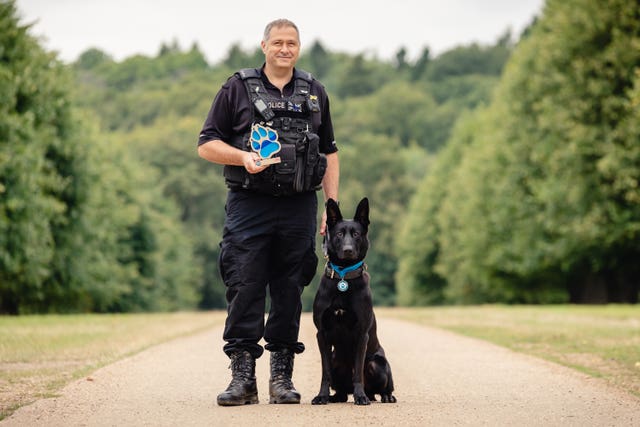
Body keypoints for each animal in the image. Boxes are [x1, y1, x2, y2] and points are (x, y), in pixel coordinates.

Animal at [310, 199, 396, 406]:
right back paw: (335, 397)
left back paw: (381, 396)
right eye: (339, 234)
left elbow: (357, 372)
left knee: (382, 387)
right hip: (336, 361)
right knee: (341, 390)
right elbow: (325, 373)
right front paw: (321, 396)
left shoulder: (361, 334)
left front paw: (360, 397)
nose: (348, 251)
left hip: (377, 364)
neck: (344, 276)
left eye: (356, 234)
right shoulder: (322, 334)